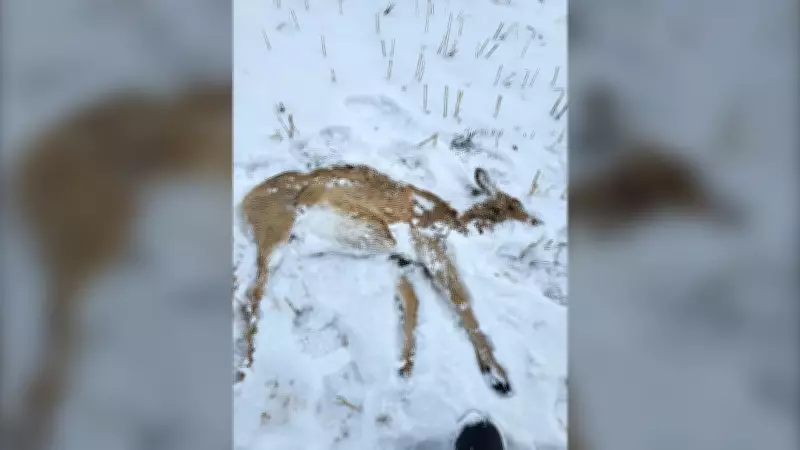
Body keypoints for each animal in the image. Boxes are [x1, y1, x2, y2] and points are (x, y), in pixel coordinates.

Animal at [237, 163, 544, 396]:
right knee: (253, 296)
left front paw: (405, 366)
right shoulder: (429, 245)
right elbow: (461, 300)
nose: (537, 222)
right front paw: (498, 377)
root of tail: (247, 199)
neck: (454, 224)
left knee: (248, 292)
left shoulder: (400, 261)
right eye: (511, 205)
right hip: (277, 233)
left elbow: (412, 303)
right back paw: (245, 368)